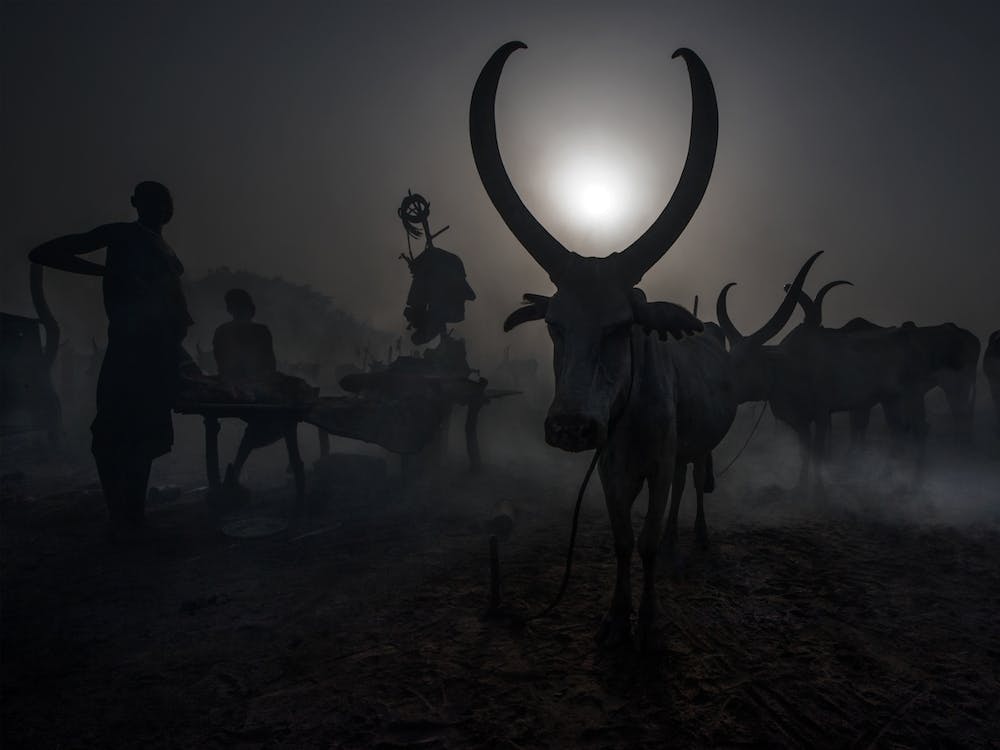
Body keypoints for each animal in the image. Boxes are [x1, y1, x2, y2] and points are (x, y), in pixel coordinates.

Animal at [470, 41, 819, 648]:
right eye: (554, 324)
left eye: (621, 326)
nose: (570, 428)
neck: (628, 412)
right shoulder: (612, 471)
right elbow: (624, 540)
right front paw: (616, 616)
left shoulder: (656, 463)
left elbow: (651, 537)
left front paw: (651, 618)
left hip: (694, 446)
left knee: (692, 486)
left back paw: (693, 536)